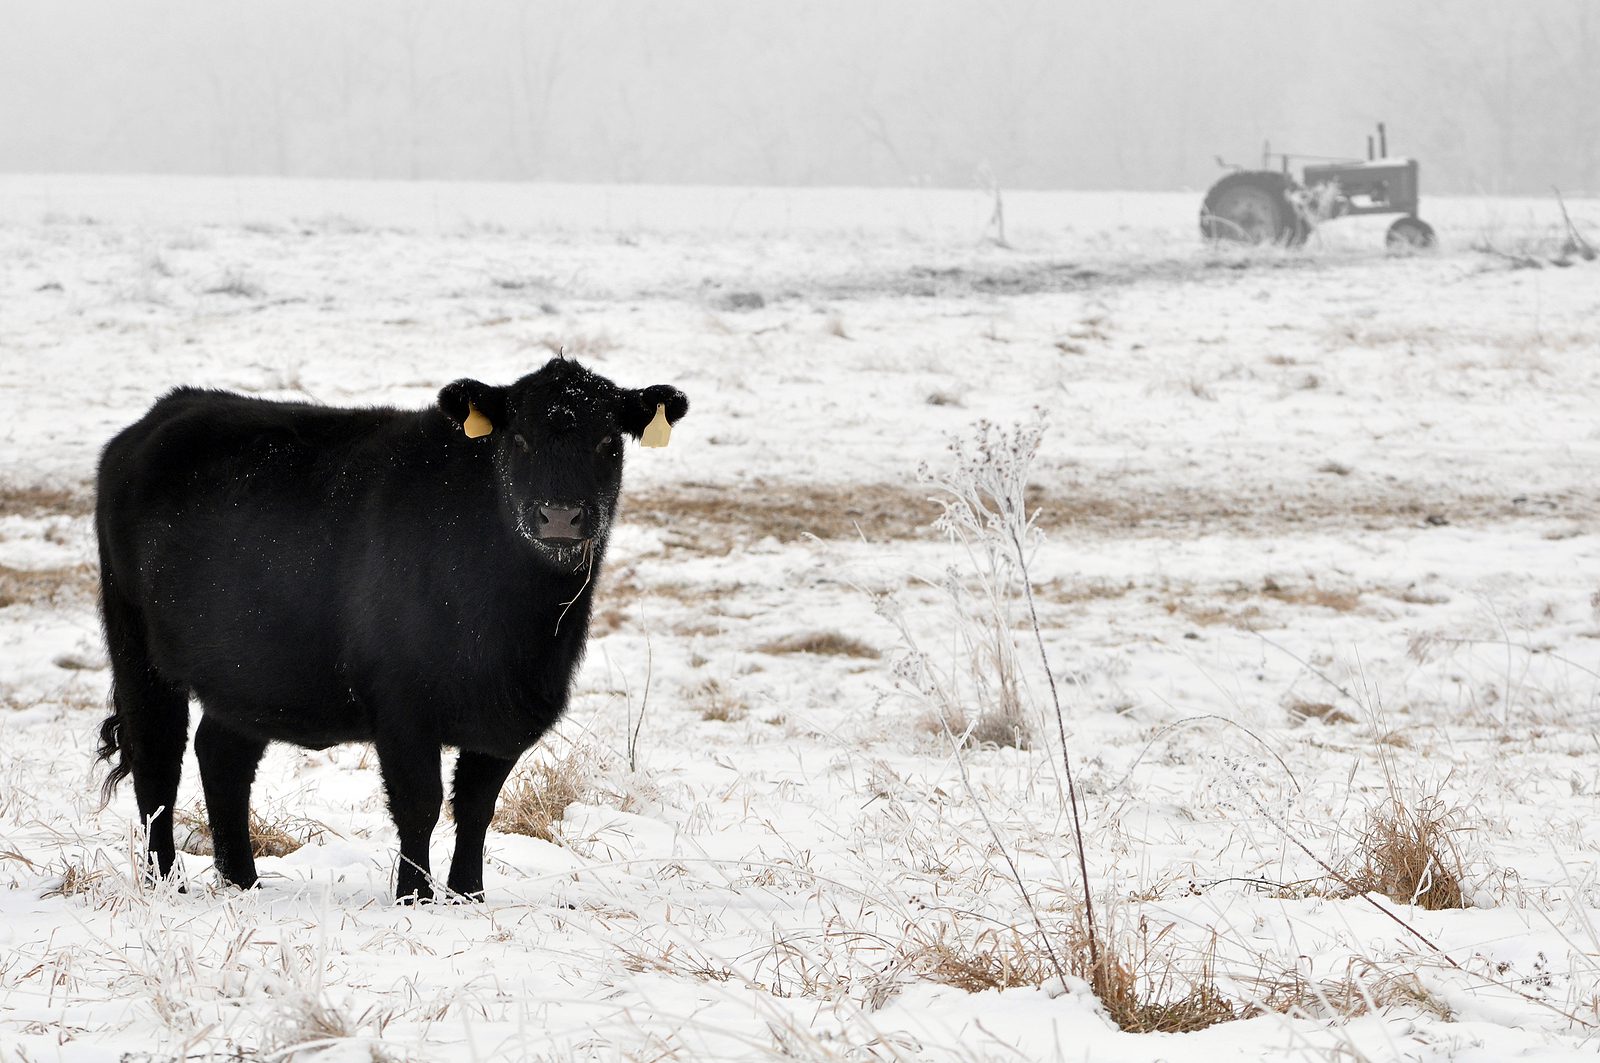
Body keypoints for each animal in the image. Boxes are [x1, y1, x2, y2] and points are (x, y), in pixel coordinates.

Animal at [94, 357, 688, 902]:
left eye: (608, 441)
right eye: (518, 438)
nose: (560, 515)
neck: (519, 632)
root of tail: (170, 408)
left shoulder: (511, 713)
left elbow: (477, 807)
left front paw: (469, 896)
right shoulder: (403, 704)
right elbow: (420, 804)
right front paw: (415, 898)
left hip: (249, 670)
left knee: (222, 756)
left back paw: (243, 883)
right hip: (135, 647)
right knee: (157, 764)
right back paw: (167, 886)